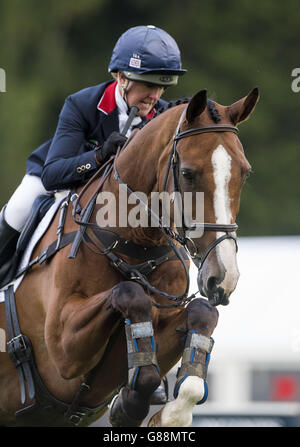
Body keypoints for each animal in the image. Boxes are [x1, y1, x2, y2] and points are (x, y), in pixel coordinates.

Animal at [0, 86, 258, 428]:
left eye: (245, 174)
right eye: (187, 174)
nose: (223, 277)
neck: (136, 245)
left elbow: (203, 313)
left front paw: (163, 413)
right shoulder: (61, 351)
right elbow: (130, 293)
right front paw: (130, 404)